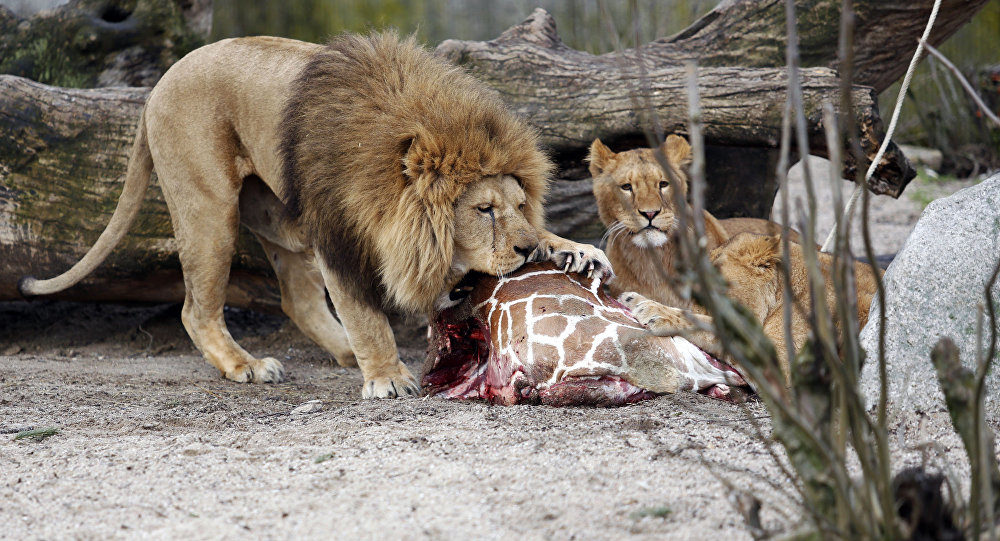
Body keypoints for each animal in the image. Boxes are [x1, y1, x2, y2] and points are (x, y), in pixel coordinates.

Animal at [19, 32, 611, 398]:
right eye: (483, 209)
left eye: (519, 205)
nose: (525, 250)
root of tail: (155, 89)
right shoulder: (339, 235)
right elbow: (366, 312)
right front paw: (388, 376)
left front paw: (576, 251)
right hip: (210, 209)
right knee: (196, 309)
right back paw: (248, 365)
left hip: (281, 218)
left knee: (296, 299)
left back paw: (341, 351)